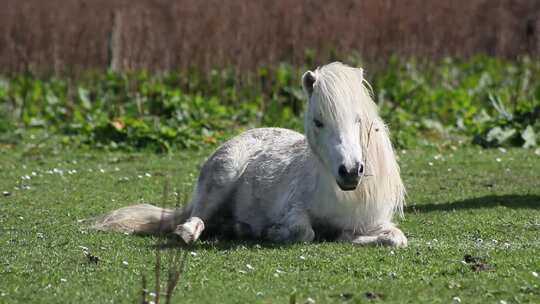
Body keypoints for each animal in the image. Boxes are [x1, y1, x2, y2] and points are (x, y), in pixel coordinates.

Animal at [92, 61, 404, 247]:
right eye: (318, 121)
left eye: (359, 119)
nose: (350, 171)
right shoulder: (292, 210)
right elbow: (304, 231)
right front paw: (272, 232)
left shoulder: (374, 222)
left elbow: (395, 238)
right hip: (222, 176)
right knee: (196, 217)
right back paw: (195, 231)